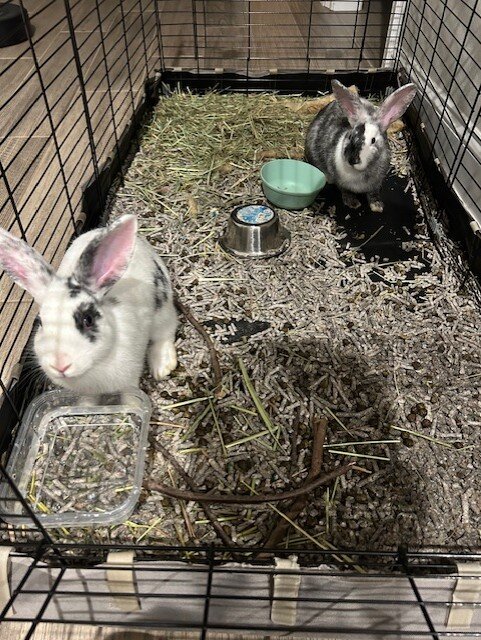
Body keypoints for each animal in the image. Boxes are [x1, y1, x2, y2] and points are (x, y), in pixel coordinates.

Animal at [0, 215, 178, 395]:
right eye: (40, 323)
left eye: (88, 319)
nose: (60, 365)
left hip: (162, 312)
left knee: (166, 332)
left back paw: (162, 367)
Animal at [305, 79, 416, 212]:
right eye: (350, 136)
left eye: (373, 140)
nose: (353, 160)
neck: (358, 172)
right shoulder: (341, 182)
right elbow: (345, 192)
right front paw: (353, 204)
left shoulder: (376, 183)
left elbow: (373, 194)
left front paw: (377, 207)